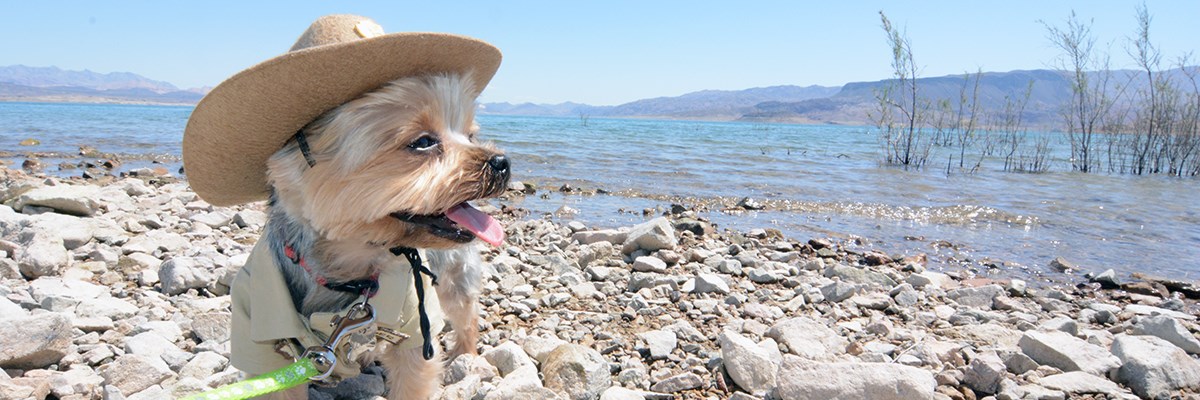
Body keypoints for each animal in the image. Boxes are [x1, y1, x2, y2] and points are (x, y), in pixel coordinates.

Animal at [258, 72, 506, 398]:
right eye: (423, 142)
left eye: (471, 136)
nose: (502, 163)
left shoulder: (417, 328)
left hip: (456, 276)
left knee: (465, 314)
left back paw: (465, 354)